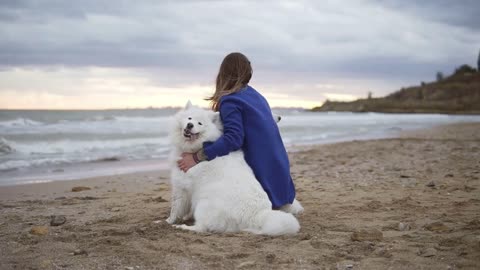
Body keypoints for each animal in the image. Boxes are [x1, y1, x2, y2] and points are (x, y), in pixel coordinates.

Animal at [165, 102, 300, 235]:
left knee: (202, 227)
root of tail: (257, 216)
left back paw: (183, 227)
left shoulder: (181, 186)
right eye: (189, 118)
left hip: (203, 204)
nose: (190, 125)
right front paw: (185, 217)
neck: (195, 147)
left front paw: (168, 221)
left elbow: (175, 207)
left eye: (200, 123)